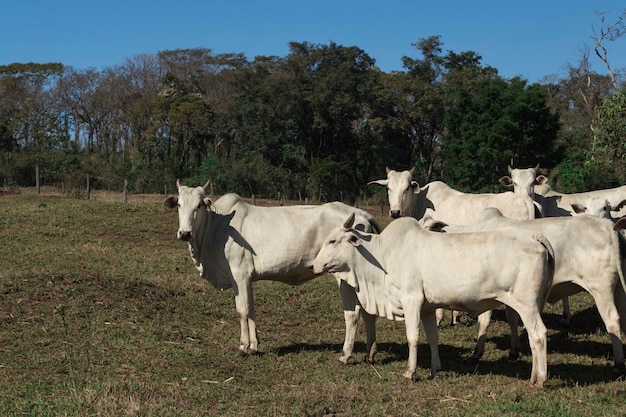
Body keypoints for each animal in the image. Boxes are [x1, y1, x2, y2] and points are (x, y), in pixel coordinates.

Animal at [165, 180, 380, 360]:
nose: (185, 233)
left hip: (342, 275)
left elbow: (242, 310)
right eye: (179, 205)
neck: (216, 228)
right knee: (368, 311)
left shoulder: (239, 274)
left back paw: (346, 354)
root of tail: (361, 213)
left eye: (199, 205)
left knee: (352, 312)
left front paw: (242, 347)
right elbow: (251, 309)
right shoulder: (247, 278)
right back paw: (370, 353)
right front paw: (253, 346)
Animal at [310, 211, 552, 386]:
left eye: (332, 241)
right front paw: (435, 369)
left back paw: (538, 379)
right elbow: (432, 337)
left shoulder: (411, 300)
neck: (383, 257)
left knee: (538, 335)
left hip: (527, 306)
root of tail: (534, 237)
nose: (313, 265)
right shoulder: (427, 308)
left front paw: (409, 372)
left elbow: (412, 337)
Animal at [422, 208, 626, 376]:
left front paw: (476, 353)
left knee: (612, 320)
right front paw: (514, 350)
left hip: (601, 288)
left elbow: (484, 322)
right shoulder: (509, 295)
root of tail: (606, 224)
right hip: (619, 289)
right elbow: (512, 319)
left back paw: (618, 364)